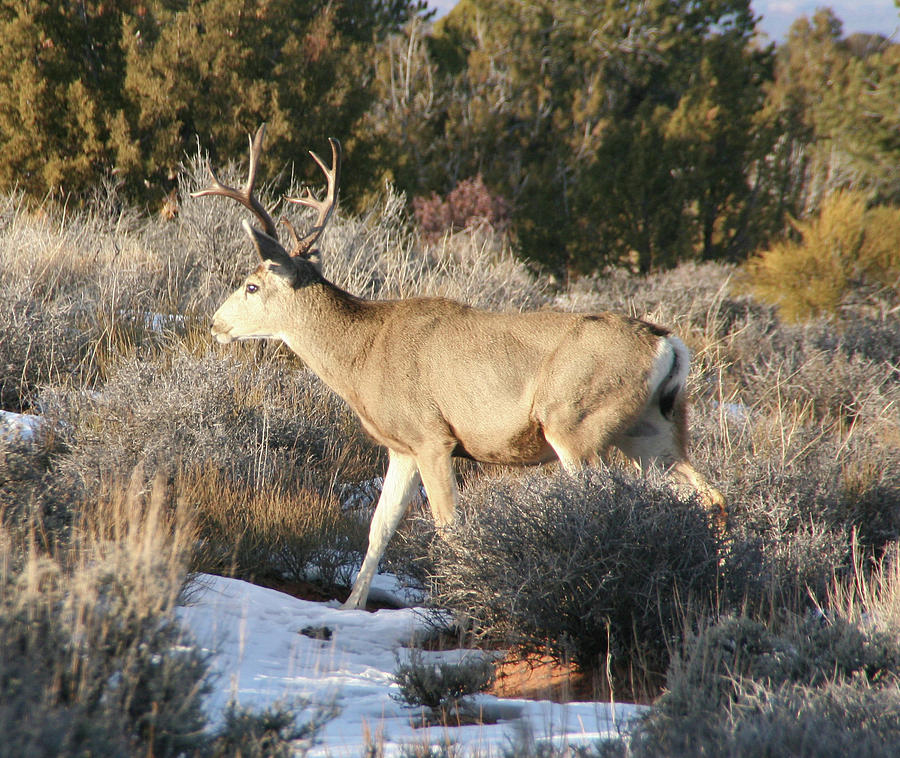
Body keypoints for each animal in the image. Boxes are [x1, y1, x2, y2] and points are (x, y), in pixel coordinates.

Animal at [195, 124, 724, 612]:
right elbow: (379, 528)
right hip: (652, 430)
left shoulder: (433, 435)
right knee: (710, 497)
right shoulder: (402, 446)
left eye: (250, 285)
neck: (362, 354)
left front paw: (462, 604)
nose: (215, 323)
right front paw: (350, 608)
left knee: (601, 504)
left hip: (575, 421)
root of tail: (668, 344)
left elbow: (449, 527)